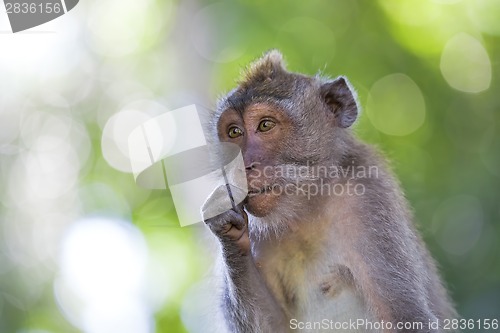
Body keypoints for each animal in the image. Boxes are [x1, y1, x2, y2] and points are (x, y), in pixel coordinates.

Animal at [201, 50, 456, 332]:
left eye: (265, 125)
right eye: (234, 132)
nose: (242, 166)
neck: (307, 208)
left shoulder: (369, 199)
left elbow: (406, 317)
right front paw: (227, 228)